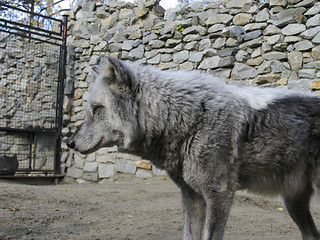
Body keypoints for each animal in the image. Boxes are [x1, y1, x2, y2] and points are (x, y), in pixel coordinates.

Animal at [67, 56, 320, 240]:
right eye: (89, 110)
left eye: (97, 109)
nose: (69, 142)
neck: (190, 119)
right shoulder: (192, 196)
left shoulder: (219, 195)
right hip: (294, 205)